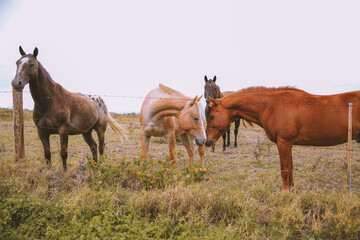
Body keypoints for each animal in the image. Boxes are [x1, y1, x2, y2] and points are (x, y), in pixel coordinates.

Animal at [205, 86, 360, 191]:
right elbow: (290, 169)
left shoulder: (284, 143)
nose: (207, 142)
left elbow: (285, 171)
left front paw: (285, 193)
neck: (273, 106)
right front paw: (292, 190)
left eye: (212, 116)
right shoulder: (288, 144)